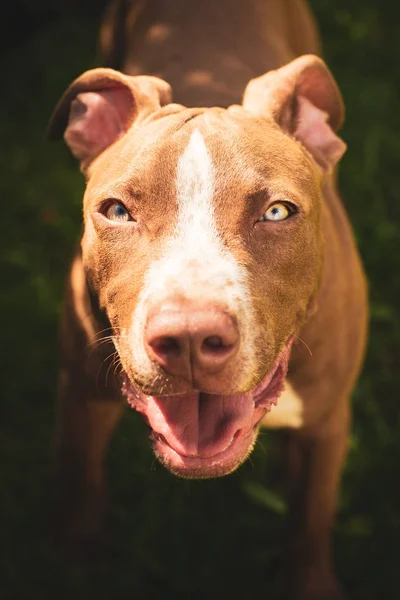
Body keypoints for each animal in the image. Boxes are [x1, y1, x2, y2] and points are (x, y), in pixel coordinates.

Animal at [48, 2, 368, 596]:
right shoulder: (80, 393)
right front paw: (78, 563)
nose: (191, 337)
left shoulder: (329, 420)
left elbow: (310, 522)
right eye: (117, 211)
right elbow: (82, 485)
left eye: (277, 212)